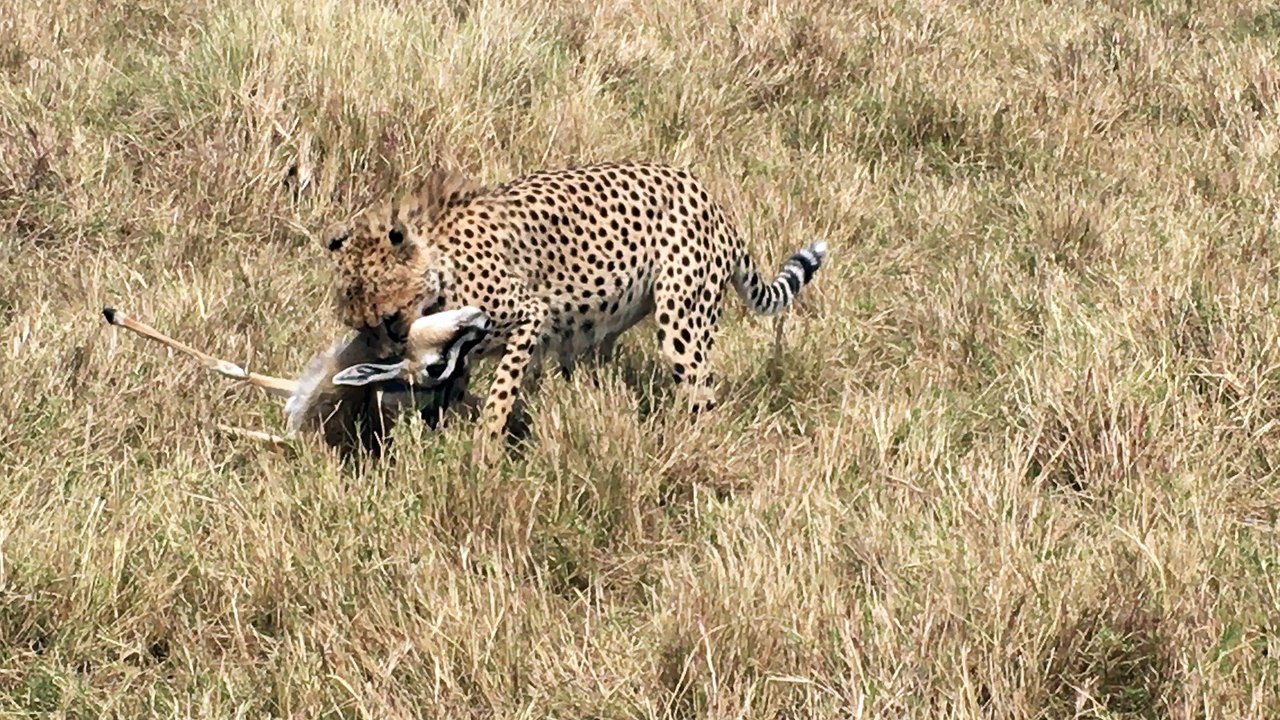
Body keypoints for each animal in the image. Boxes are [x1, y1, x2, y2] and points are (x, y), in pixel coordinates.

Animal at [320, 161, 829, 455]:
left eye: (390, 321)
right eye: (360, 327)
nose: (384, 358)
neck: (440, 272)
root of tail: (707, 196)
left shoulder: (529, 315)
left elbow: (502, 388)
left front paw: (486, 446)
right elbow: (455, 394)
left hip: (682, 323)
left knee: (700, 390)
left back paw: (688, 444)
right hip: (604, 327)